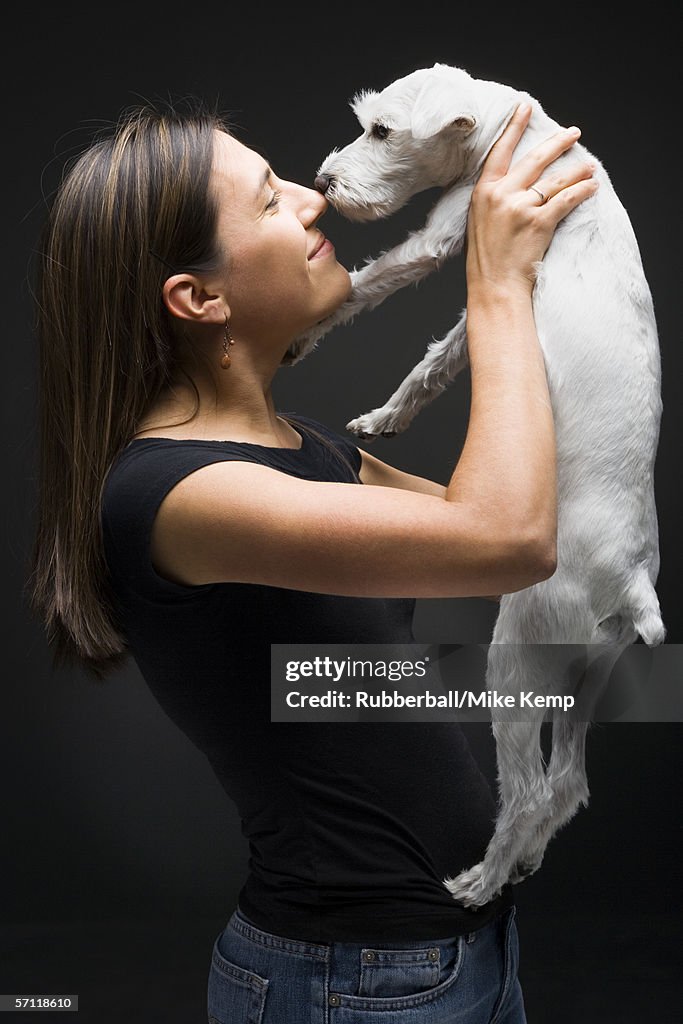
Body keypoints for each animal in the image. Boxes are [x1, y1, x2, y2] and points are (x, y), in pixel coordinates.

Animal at [286, 64, 663, 909]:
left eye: (381, 130)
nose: (322, 182)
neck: (512, 126)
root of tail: (630, 582)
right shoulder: (490, 292)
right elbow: (436, 361)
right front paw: (386, 416)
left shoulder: (447, 233)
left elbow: (365, 284)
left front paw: (297, 336)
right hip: (585, 676)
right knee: (566, 784)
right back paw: (518, 862)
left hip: (516, 658)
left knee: (525, 790)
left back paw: (478, 882)